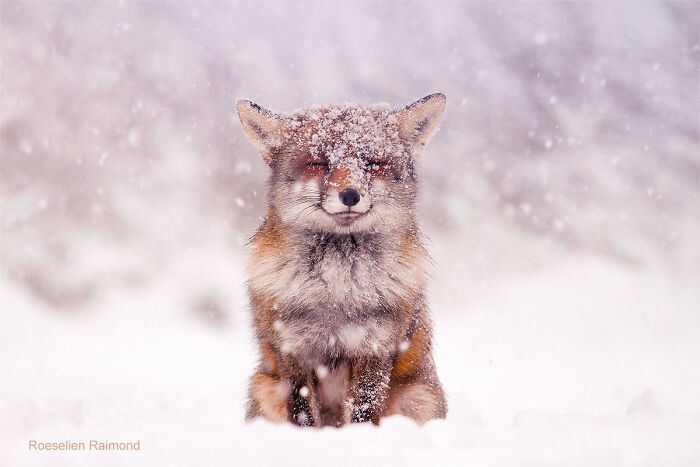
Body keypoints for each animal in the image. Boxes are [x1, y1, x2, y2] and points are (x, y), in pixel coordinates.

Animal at [236, 93, 448, 427]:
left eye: (373, 163)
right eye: (319, 163)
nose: (350, 195)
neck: (336, 288)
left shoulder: (375, 346)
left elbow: (363, 409)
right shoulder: (292, 348)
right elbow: (303, 412)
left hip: (418, 399)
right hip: (264, 387)